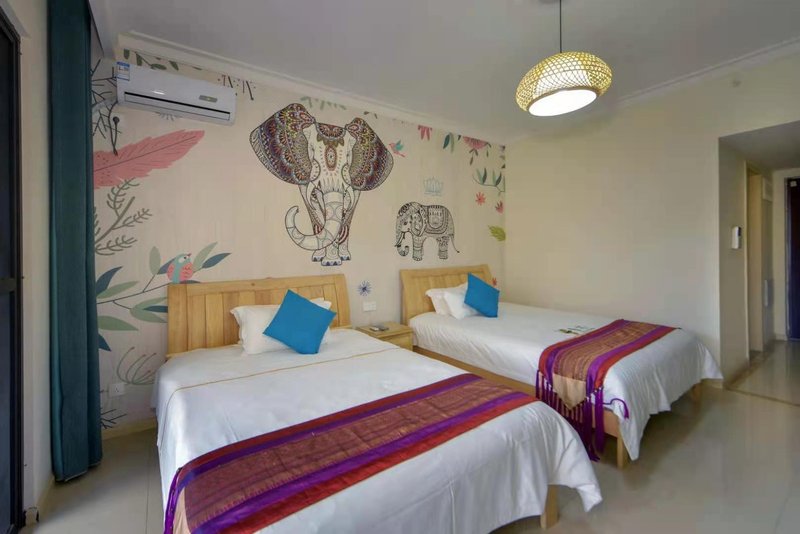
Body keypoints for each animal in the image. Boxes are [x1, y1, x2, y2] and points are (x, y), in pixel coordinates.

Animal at [249, 103, 393, 266]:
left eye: (349, 156)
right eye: (311, 150)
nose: (295, 209)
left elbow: (346, 213)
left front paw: (332, 262)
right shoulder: (304, 179)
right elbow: (314, 209)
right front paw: (321, 259)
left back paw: (345, 256)